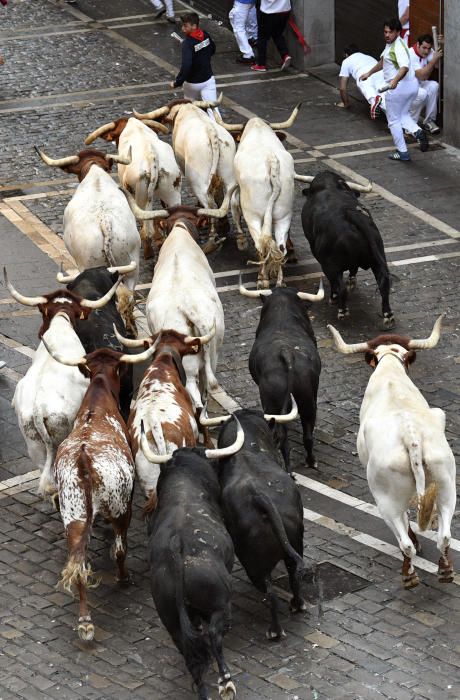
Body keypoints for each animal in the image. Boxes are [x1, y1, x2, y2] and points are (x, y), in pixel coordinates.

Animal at [146, 448, 235, 700]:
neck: (184, 483)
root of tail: (177, 547)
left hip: (171, 619)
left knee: (191, 656)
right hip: (220, 605)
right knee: (214, 635)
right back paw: (226, 681)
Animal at [248, 284, 320, 470]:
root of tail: (286, 353)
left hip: (273, 404)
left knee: (284, 437)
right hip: (307, 399)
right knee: (307, 434)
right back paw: (310, 461)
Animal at [300, 174, 394, 330]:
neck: (330, 187)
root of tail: (349, 214)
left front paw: (335, 298)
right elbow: (353, 270)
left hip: (330, 266)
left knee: (339, 286)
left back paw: (341, 310)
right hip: (378, 258)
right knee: (384, 284)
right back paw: (388, 316)